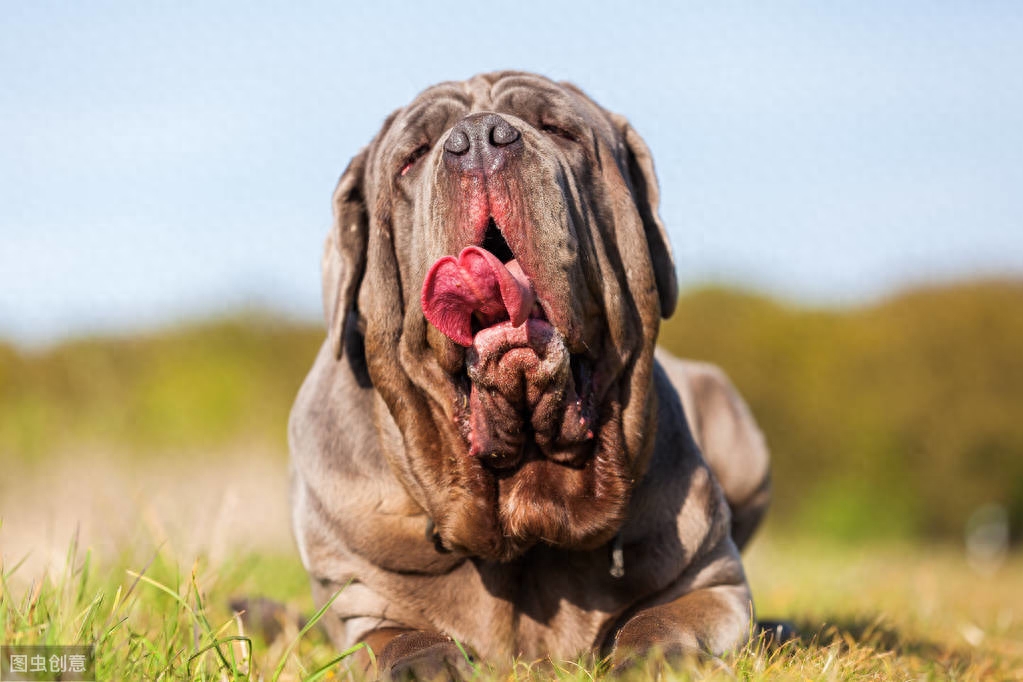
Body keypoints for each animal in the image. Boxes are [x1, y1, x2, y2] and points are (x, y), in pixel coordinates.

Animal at [288, 69, 769, 678]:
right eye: (412, 157)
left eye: (558, 129)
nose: (478, 140)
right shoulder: (360, 600)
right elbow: (397, 638)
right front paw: (425, 663)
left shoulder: (711, 579)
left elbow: (660, 620)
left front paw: (650, 658)